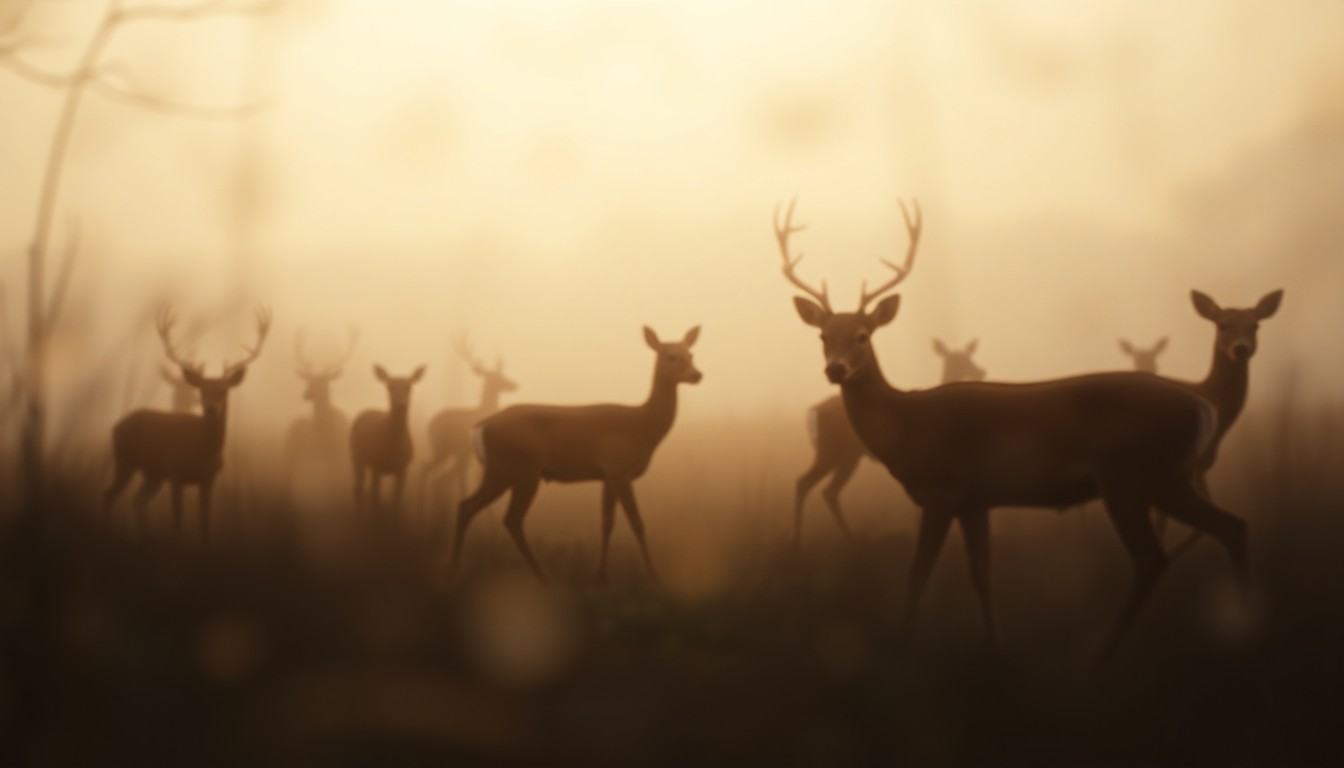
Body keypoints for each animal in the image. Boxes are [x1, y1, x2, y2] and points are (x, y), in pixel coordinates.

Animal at [104, 305, 272, 536]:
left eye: (224, 390)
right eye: (202, 390)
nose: (211, 409)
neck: (202, 453)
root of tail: (117, 425)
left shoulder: (209, 480)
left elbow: (205, 525)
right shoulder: (176, 474)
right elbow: (177, 521)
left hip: (153, 474)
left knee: (137, 501)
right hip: (126, 460)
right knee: (109, 494)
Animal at [350, 364, 426, 514]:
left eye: (409, 387)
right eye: (389, 386)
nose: (400, 403)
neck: (392, 447)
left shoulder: (403, 467)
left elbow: (396, 501)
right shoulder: (376, 464)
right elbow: (376, 500)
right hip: (356, 454)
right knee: (359, 488)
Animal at [420, 331, 518, 509]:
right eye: (498, 377)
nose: (515, 384)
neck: (482, 410)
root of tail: (431, 424)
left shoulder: (466, 456)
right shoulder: (467, 454)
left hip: (448, 451)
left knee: (435, 474)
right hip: (442, 448)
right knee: (427, 469)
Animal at [449, 326, 702, 583]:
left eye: (691, 354)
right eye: (670, 356)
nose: (696, 375)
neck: (642, 426)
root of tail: (480, 426)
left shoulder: (607, 476)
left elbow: (606, 522)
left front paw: (601, 575)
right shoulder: (619, 470)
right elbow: (637, 522)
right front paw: (654, 575)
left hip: (499, 471)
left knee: (467, 506)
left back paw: (456, 569)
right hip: (522, 470)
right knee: (511, 519)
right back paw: (543, 576)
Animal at [794, 337, 986, 544]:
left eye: (968, 356)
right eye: (958, 360)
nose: (980, 371)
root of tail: (814, 410)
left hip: (846, 455)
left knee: (828, 490)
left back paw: (849, 538)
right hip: (831, 449)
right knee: (805, 482)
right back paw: (801, 540)